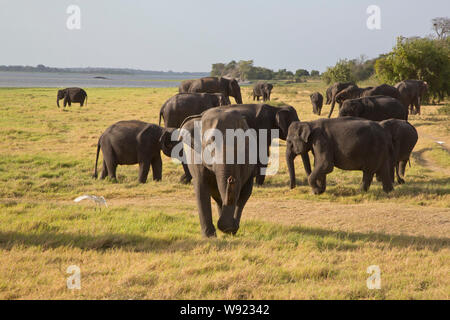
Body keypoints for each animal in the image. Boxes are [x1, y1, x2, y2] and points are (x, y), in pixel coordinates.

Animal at [179, 107, 256, 235]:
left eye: (240, 144)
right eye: (210, 143)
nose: (231, 179)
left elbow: (238, 188)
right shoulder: (196, 157)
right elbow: (200, 186)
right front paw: (209, 236)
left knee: (245, 193)